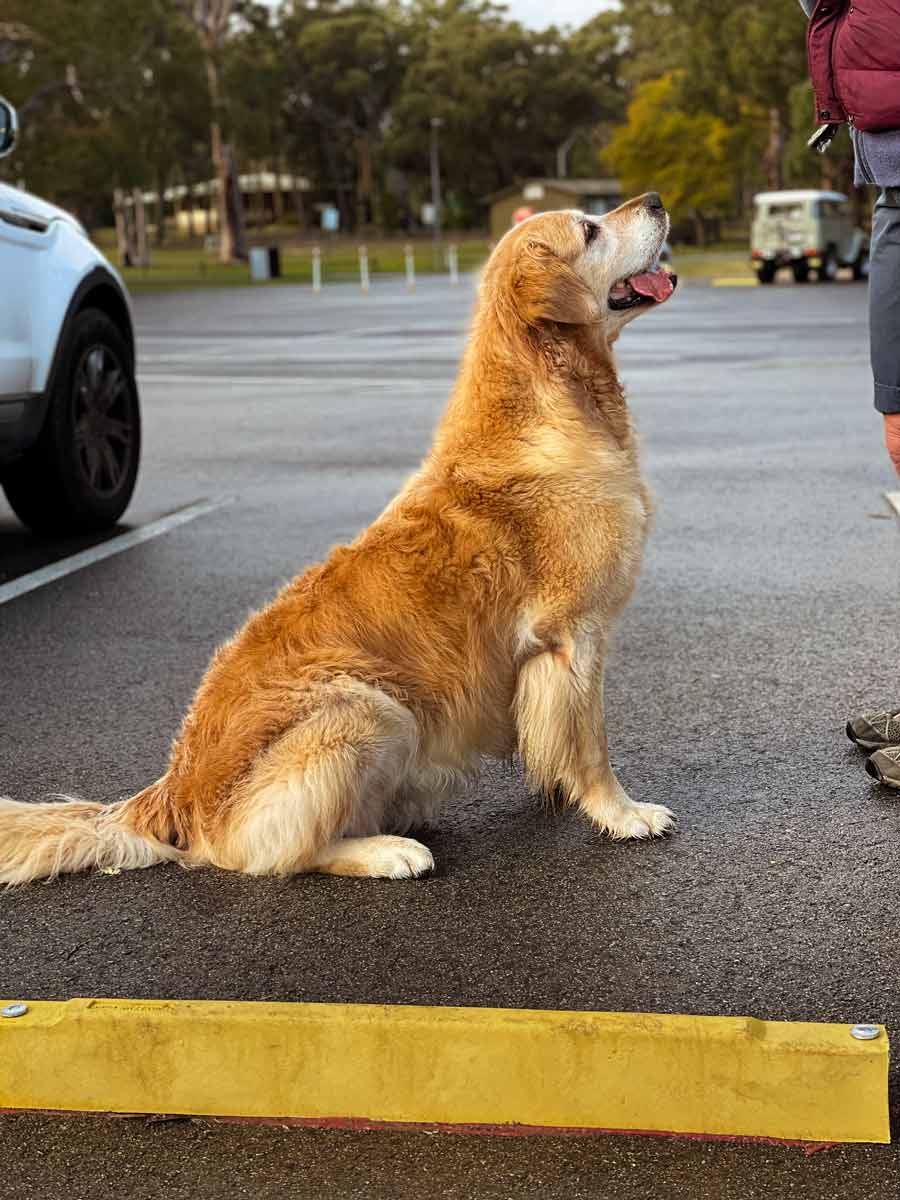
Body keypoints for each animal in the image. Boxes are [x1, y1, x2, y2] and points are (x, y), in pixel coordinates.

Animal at [0, 194, 676, 892]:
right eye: (589, 230)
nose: (654, 201)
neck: (555, 403)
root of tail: (172, 793)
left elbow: (555, 739)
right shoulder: (576, 633)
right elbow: (592, 744)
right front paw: (622, 813)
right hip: (371, 708)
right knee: (278, 852)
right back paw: (390, 850)